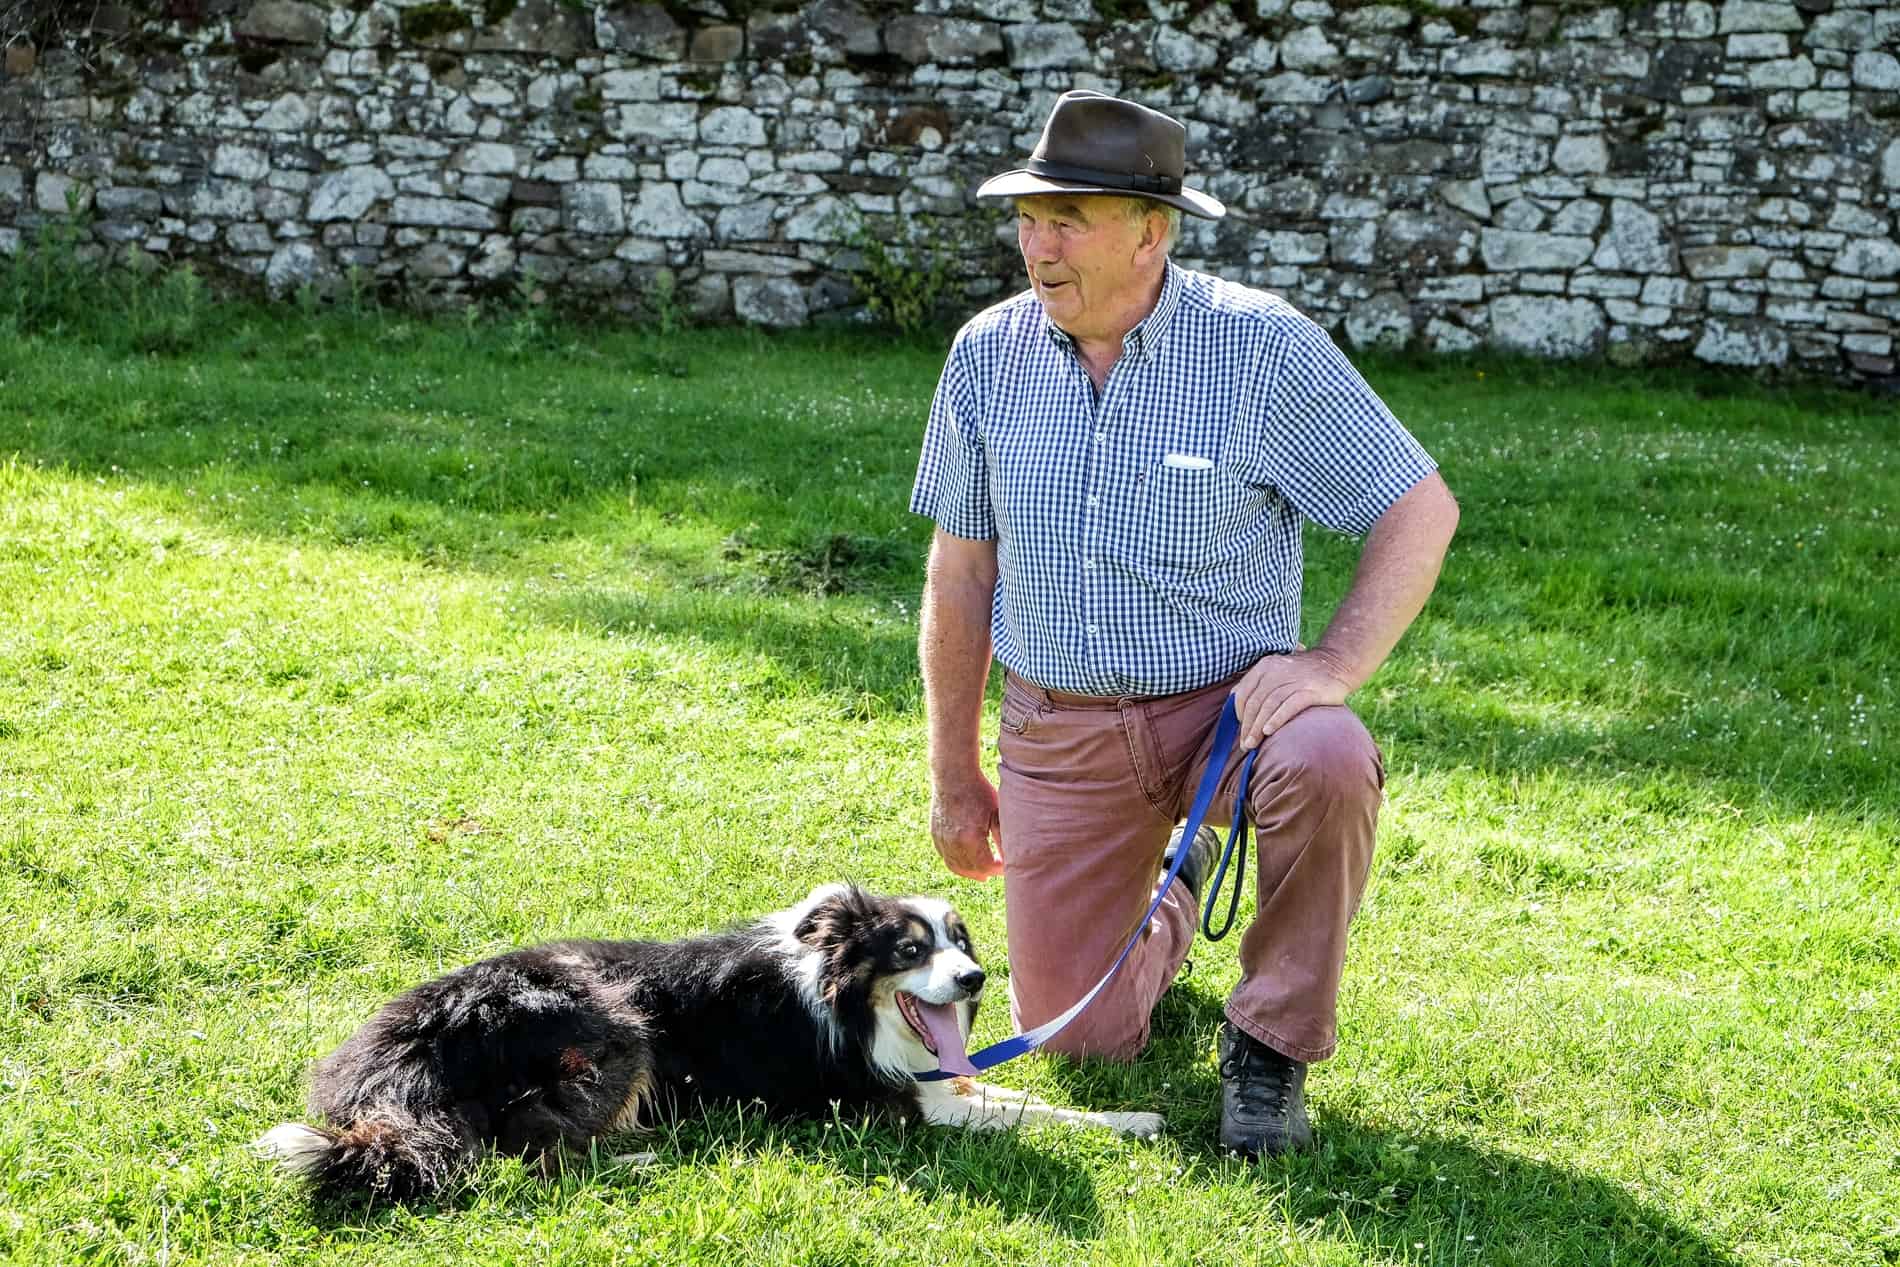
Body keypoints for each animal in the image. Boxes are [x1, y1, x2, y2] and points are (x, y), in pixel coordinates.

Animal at [260, 881, 1162, 1200]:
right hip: (614, 1020)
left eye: (960, 941)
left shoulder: (937, 1080)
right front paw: (1130, 1124)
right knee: (525, 1144)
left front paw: (1134, 1120)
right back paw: (637, 1159)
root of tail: (404, 1047)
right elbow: (1031, 1109)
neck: (844, 996)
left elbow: (1013, 1090)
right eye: (910, 950)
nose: (974, 980)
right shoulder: (889, 1102)